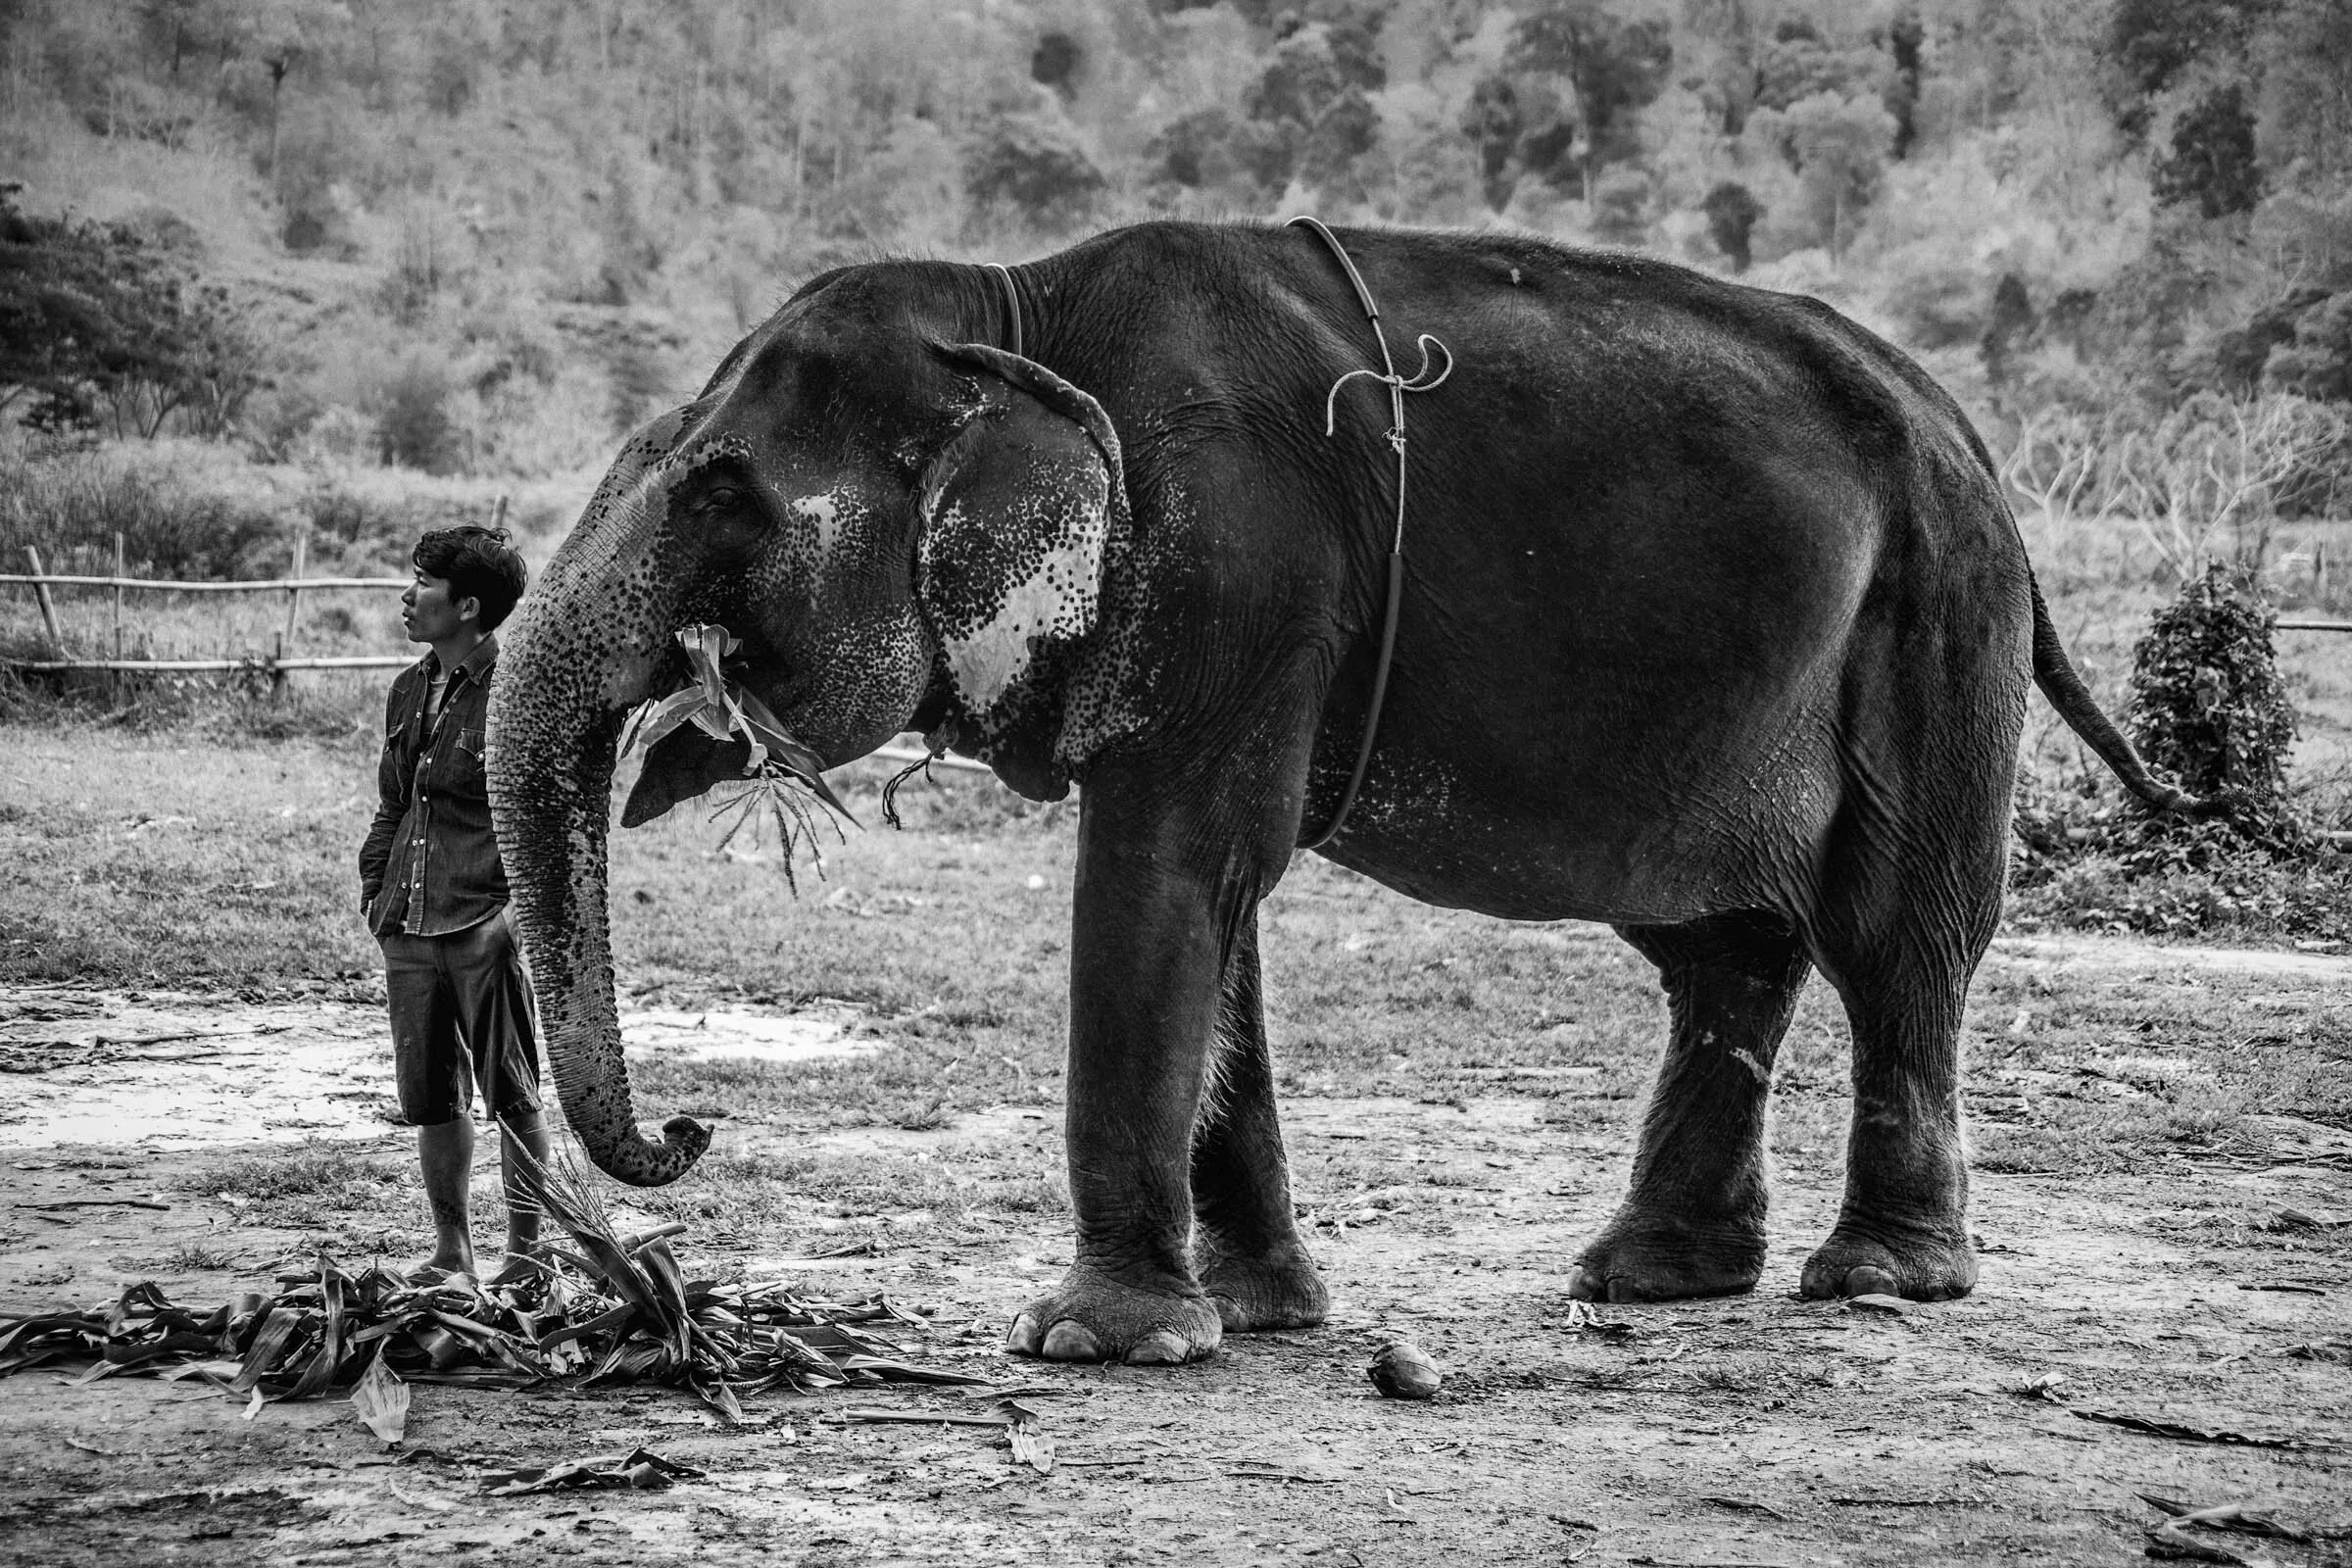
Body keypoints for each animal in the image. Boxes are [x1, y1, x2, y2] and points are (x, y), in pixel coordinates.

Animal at [485, 219, 2191, 1366]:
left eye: (720, 490)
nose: (692, 1130)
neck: (1015, 303)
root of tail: (1969, 440)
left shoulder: (1241, 558)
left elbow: (1167, 866)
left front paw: (1096, 1343)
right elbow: (1216, 902)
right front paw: (1256, 1315)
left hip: (1936, 611)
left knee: (1892, 934)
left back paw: (1879, 1282)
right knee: (1728, 943)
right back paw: (1648, 1280)